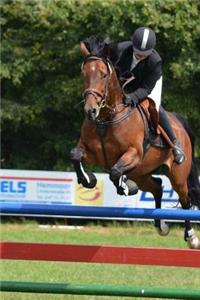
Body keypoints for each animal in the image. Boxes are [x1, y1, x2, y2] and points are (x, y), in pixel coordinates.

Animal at [70, 36, 200, 250]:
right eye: (83, 74)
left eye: (104, 75)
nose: (90, 110)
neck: (106, 119)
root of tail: (180, 123)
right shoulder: (91, 152)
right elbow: (75, 155)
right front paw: (89, 180)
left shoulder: (133, 155)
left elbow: (115, 172)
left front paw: (124, 187)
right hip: (141, 173)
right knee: (157, 187)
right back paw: (161, 225)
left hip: (177, 175)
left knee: (185, 200)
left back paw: (191, 236)